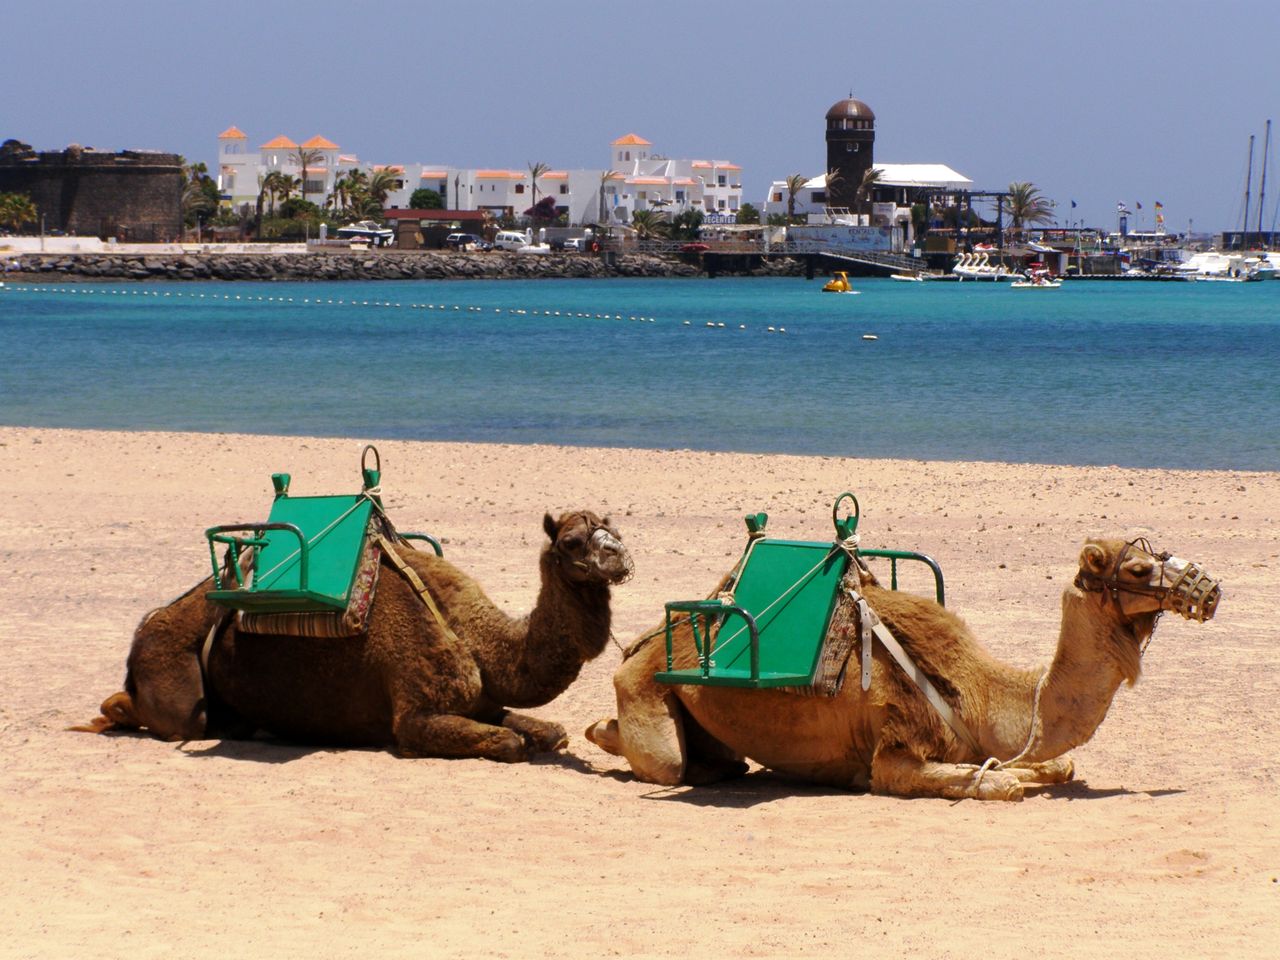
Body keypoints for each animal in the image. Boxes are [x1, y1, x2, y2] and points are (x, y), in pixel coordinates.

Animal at [82, 512, 632, 768]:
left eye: (615, 530)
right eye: (572, 541)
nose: (620, 557)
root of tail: (144, 627)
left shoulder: (482, 701)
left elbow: (547, 732)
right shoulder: (415, 717)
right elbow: (511, 743)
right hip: (176, 685)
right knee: (162, 714)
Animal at [586, 537, 1218, 798]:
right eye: (1137, 569)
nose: (1209, 589)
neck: (980, 695)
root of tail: (644, 644)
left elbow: (1056, 766)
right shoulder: (895, 748)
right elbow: (996, 783)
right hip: (645, 686)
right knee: (669, 763)